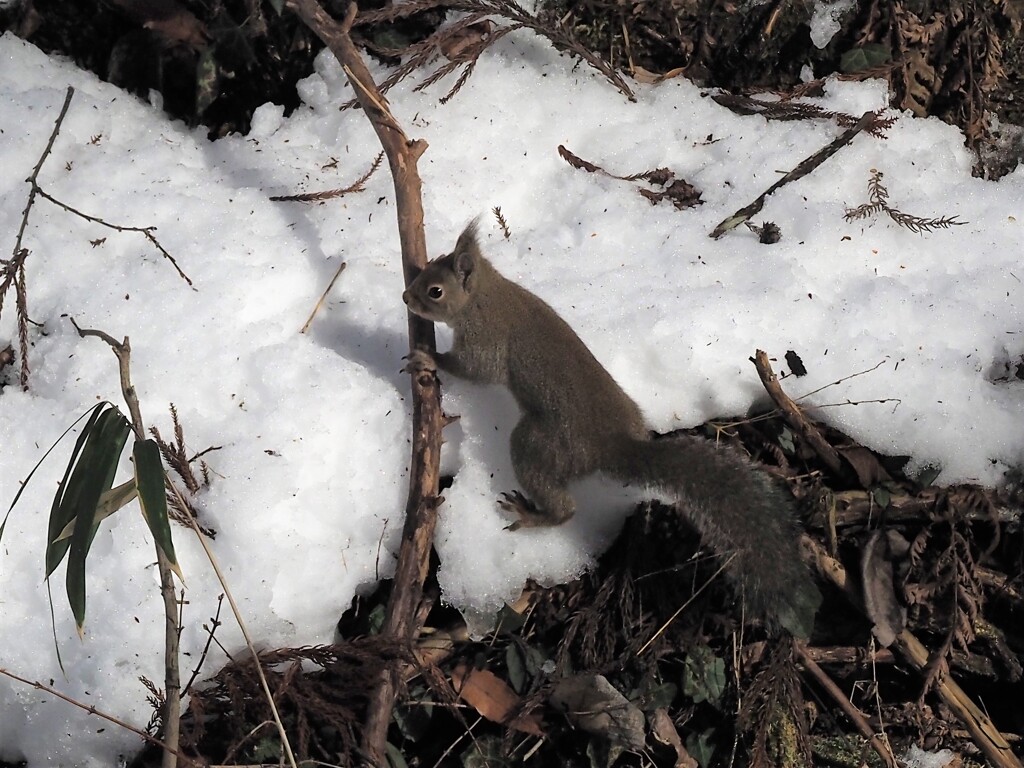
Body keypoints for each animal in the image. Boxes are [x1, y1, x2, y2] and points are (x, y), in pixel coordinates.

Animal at [403, 222, 819, 638]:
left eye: (435, 291)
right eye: (428, 266)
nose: (406, 296)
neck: (484, 295)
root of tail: (615, 446)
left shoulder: (486, 339)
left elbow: (477, 370)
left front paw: (431, 358)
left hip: (539, 444)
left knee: (565, 507)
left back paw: (532, 514)